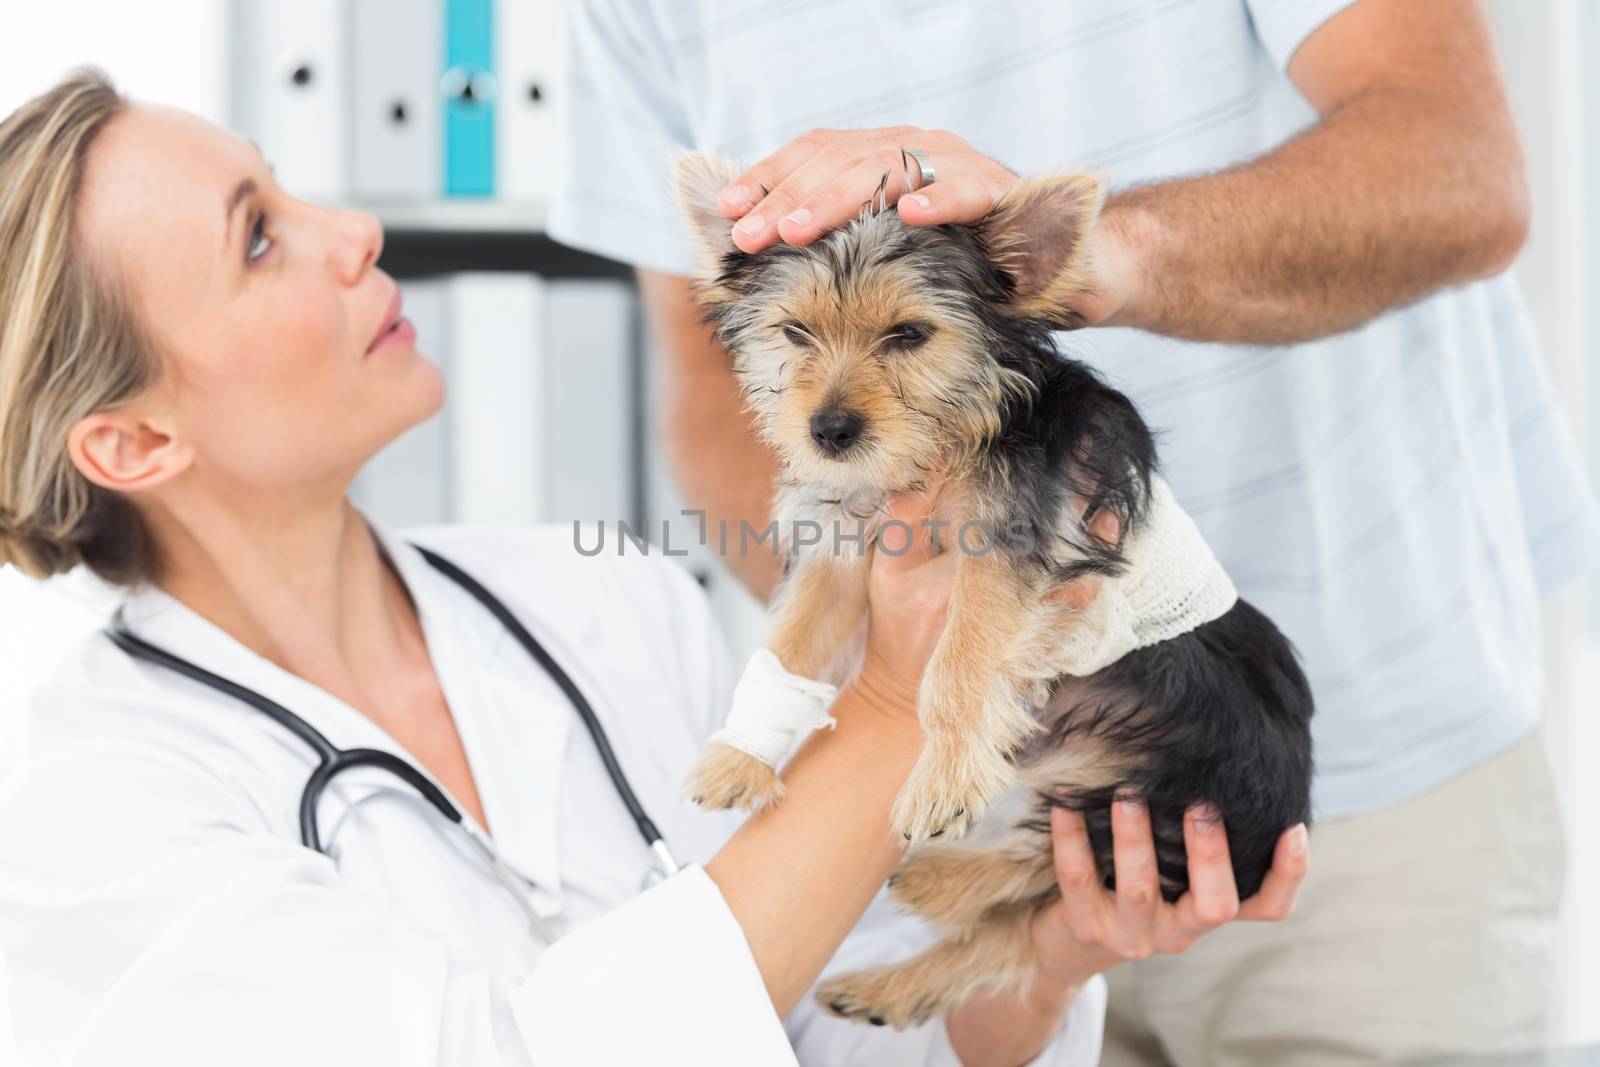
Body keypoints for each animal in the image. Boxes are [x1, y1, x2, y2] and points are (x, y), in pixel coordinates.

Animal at [675, 151, 1312, 1023]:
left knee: (1059, 862)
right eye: (795, 332)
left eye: (910, 335)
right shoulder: (843, 550)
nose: (829, 432)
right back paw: (895, 971)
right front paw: (739, 754)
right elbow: (792, 643)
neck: (944, 442)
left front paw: (942, 777)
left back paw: (946, 876)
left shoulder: (1009, 548)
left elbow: (960, 663)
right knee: (1021, 923)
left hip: (1177, 798)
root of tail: (1290, 809)